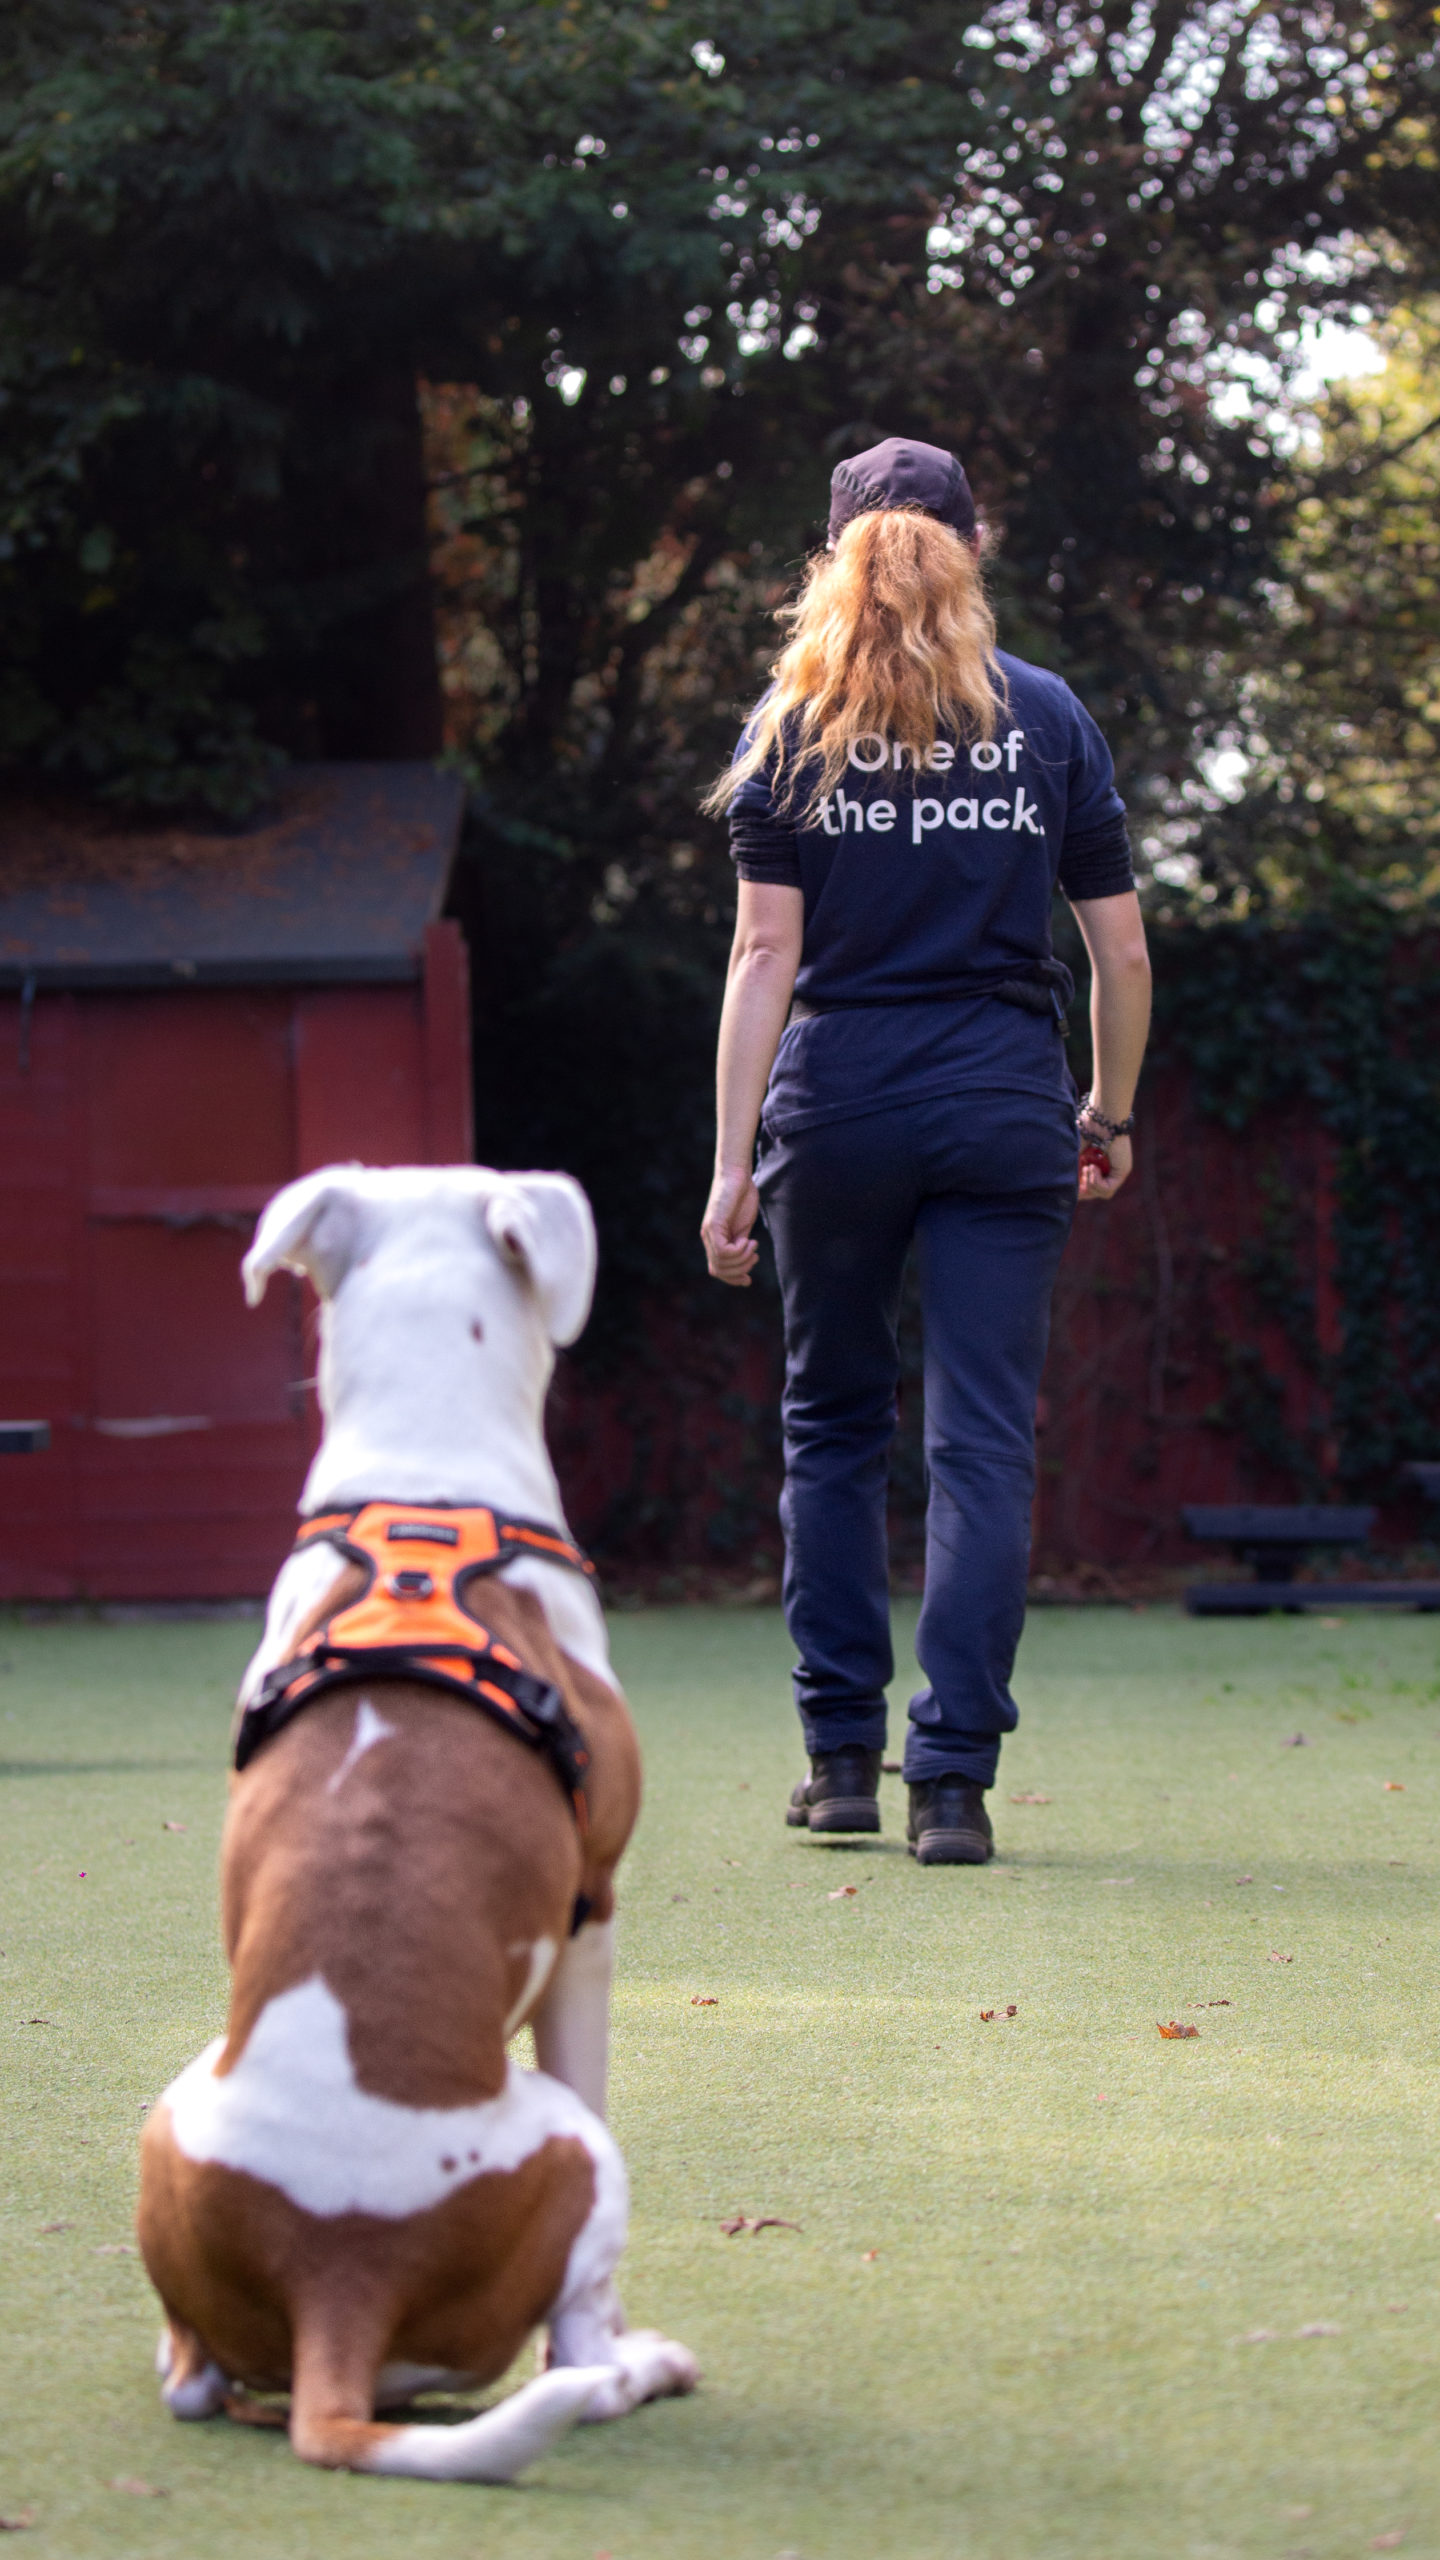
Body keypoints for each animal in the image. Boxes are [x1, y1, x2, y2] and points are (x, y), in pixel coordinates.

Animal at [137, 1167, 696, 2478]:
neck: (429, 1498)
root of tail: (335, 2281)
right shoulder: (591, 1917)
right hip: (577, 2152)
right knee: (579, 2347)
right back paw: (637, 2367)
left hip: (166, 2112)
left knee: (194, 2378)